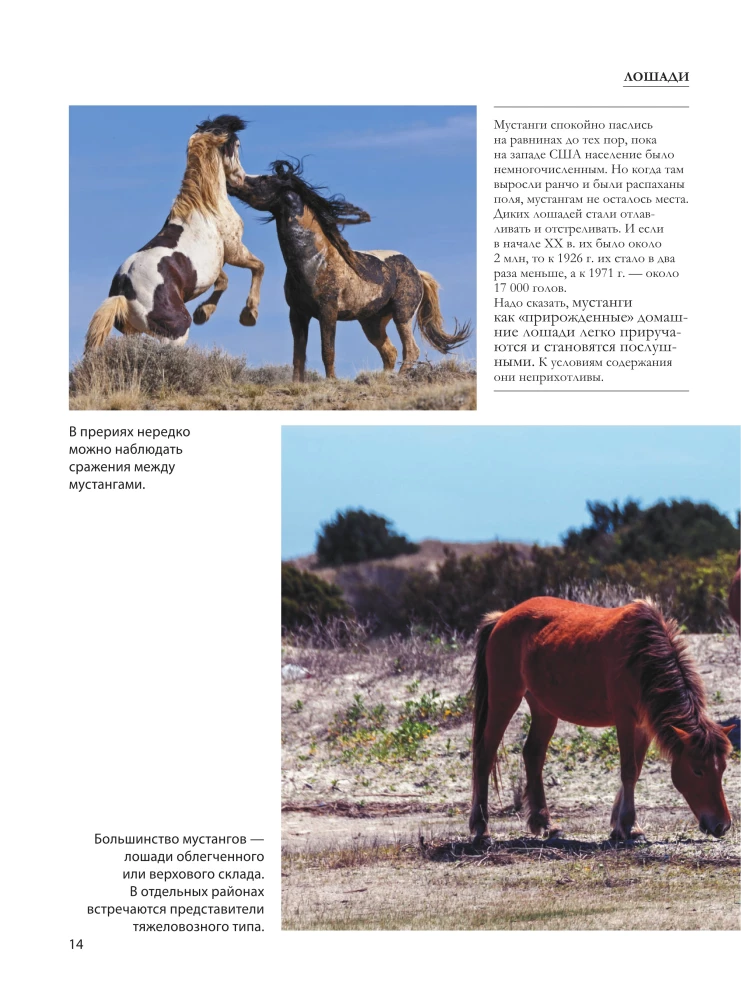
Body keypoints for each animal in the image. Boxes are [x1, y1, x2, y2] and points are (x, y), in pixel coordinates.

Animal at [85, 115, 264, 354]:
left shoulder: (216, 265)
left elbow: (223, 281)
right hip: (176, 334)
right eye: (236, 145)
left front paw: (203, 312)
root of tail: (123, 291)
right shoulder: (235, 251)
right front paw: (249, 314)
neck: (206, 207)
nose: (240, 178)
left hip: (135, 332)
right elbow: (258, 267)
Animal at [228, 160, 472, 381]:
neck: (315, 261)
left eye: (264, 179)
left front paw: (331, 381)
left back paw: (399, 377)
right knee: (390, 352)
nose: (231, 182)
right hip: (372, 322)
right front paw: (297, 384)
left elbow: (327, 350)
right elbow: (298, 355)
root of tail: (417, 271)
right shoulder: (297, 313)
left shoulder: (327, 312)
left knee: (410, 350)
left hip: (402, 314)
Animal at [469, 597, 733, 843]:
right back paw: (482, 828)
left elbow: (636, 769)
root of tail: (502, 618)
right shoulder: (624, 718)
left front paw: (622, 826)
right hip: (504, 698)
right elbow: (628, 770)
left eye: (722, 769)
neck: (641, 655)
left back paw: (545, 823)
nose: (722, 825)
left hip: (544, 708)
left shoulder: (644, 726)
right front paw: (628, 825)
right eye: (697, 770)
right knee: (485, 754)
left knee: (533, 754)